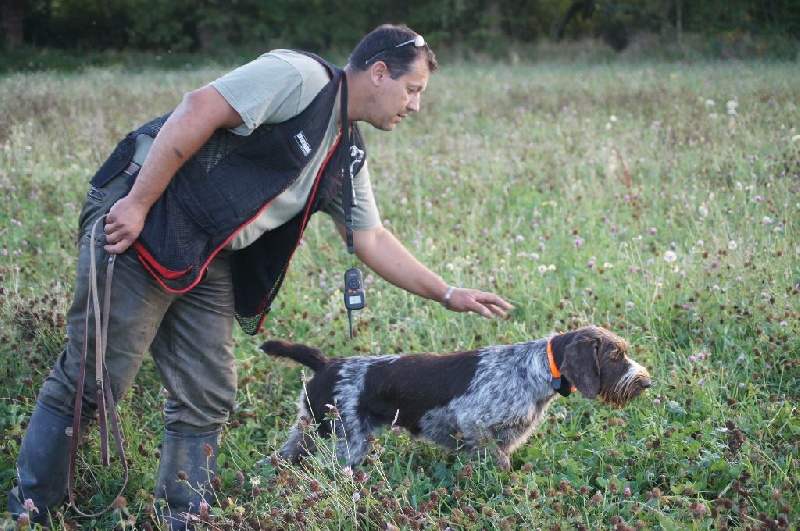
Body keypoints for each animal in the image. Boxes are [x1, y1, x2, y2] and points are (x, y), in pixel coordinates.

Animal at [262, 326, 648, 472]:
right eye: (615, 356)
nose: (646, 381)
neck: (534, 370)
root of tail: (327, 363)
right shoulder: (475, 425)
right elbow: (500, 465)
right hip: (347, 443)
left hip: (308, 433)